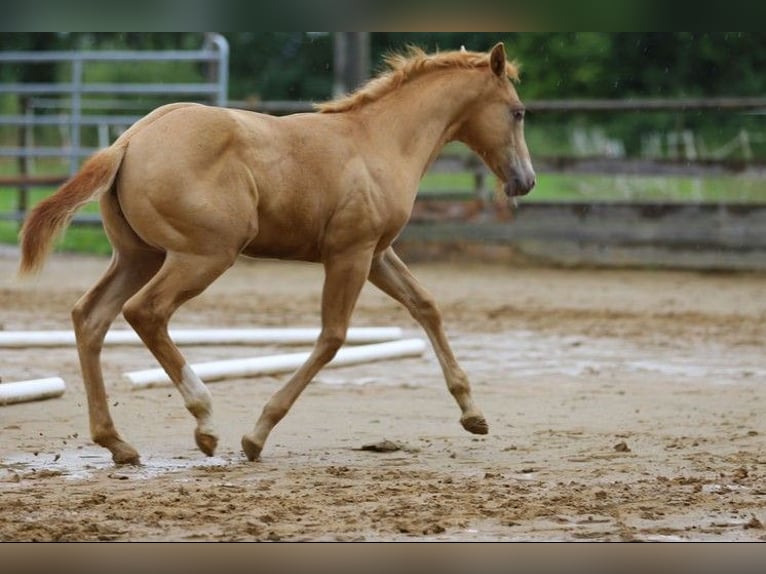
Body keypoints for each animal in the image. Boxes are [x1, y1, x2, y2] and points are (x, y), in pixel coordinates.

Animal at [18, 42, 535, 465]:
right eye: (518, 111)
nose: (525, 181)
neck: (378, 140)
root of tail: (131, 139)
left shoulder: (376, 253)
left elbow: (425, 305)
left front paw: (473, 414)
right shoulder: (350, 253)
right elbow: (333, 337)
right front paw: (257, 435)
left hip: (137, 256)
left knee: (91, 317)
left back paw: (117, 443)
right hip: (205, 255)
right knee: (145, 311)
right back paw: (205, 422)